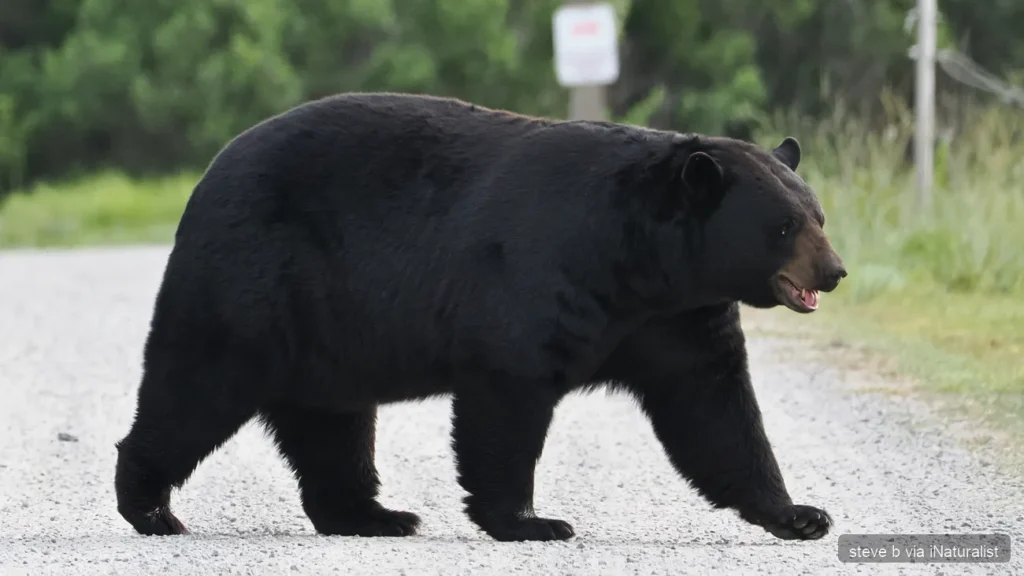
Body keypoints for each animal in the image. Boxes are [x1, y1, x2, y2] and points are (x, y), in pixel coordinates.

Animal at [113, 92, 847, 543]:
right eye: (784, 226)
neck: (643, 262)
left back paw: (373, 514)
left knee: (330, 423)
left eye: (818, 214)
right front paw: (532, 521)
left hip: (328, 334)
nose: (835, 272)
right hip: (254, 283)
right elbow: (508, 393)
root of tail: (208, 176)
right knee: (197, 385)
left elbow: (714, 408)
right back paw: (149, 506)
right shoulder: (542, 274)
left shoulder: (677, 318)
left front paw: (800, 513)